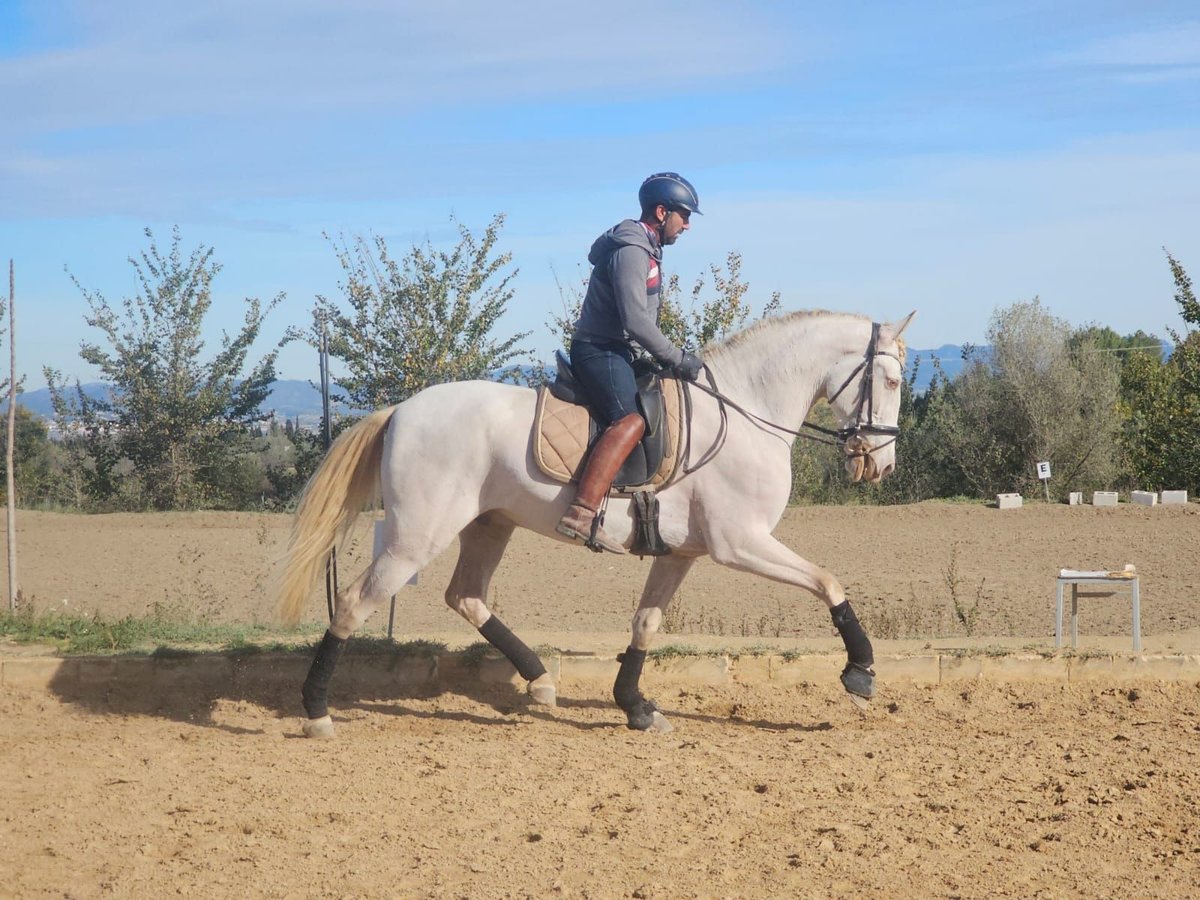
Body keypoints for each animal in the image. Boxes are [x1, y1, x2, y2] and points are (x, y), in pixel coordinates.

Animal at [276, 309, 912, 739]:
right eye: (891, 382)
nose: (881, 466)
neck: (746, 411)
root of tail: (401, 411)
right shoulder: (741, 543)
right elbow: (828, 581)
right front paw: (860, 672)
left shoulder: (682, 554)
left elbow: (646, 623)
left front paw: (635, 706)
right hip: (416, 537)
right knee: (354, 603)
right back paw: (316, 711)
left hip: (489, 524)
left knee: (466, 596)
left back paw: (539, 680)